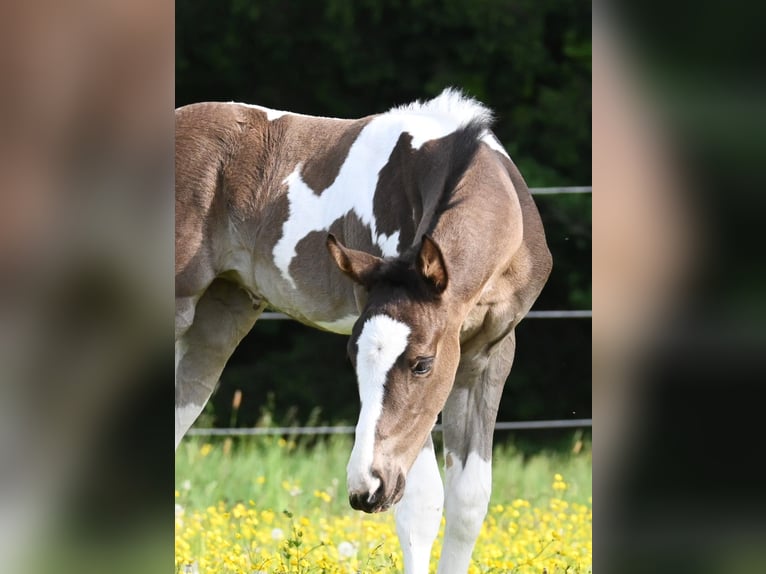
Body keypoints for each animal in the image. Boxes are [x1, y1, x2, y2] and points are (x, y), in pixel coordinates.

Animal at [175, 87, 552, 574]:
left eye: (422, 364)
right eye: (353, 356)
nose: (365, 489)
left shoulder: (487, 355)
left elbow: (469, 500)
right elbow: (421, 504)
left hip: (219, 319)